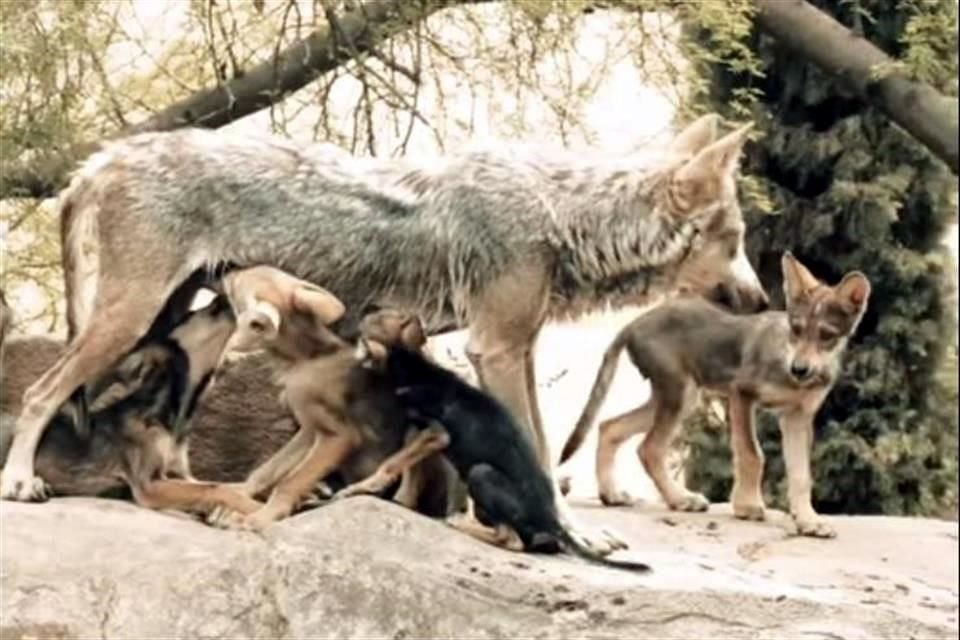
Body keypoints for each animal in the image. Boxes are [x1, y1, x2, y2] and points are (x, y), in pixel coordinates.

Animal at [0, 296, 262, 516]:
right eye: (190, 315)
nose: (223, 297)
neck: (171, 415)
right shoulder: (148, 483)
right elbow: (215, 488)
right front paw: (256, 510)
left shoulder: (181, 474)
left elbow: (224, 485)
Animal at [344, 336, 652, 576]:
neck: (416, 369)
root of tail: (553, 522)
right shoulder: (422, 432)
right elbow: (408, 463)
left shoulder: (436, 432)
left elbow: (391, 463)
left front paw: (359, 488)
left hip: (481, 474)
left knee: (511, 540)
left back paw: (461, 523)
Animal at [556, 252, 872, 536]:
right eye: (796, 329)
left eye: (827, 335)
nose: (800, 369)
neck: (786, 360)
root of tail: (633, 323)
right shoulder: (741, 395)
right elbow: (752, 455)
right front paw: (747, 506)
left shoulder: (797, 417)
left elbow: (801, 475)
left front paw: (808, 521)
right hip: (679, 396)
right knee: (649, 448)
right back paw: (680, 499)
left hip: (679, 399)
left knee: (609, 427)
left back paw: (611, 494)